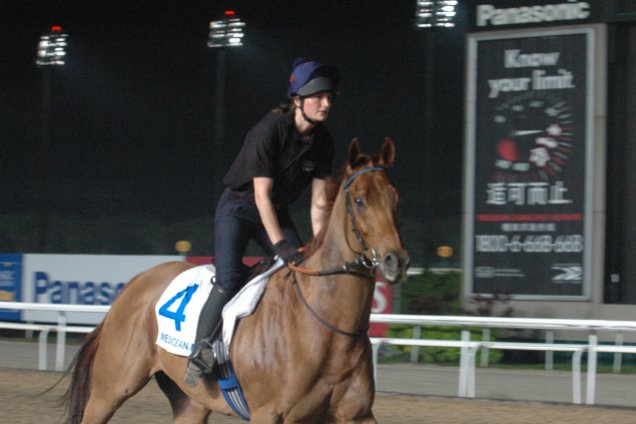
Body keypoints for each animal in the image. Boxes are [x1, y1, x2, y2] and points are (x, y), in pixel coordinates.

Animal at [63, 137, 408, 422]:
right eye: (360, 200)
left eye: (395, 198)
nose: (396, 260)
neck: (327, 327)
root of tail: (132, 286)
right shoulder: (269, 414)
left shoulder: (357, 414)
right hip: (111, 388)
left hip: (190, 402)